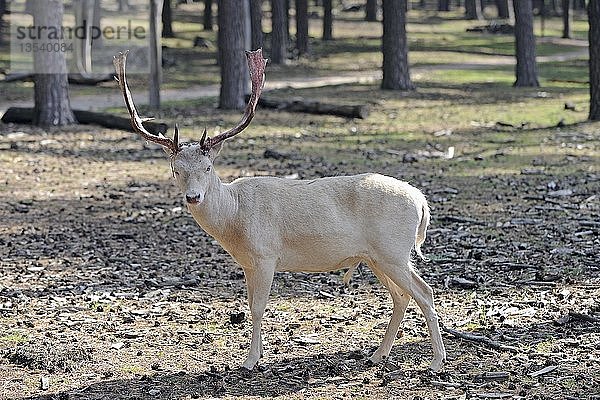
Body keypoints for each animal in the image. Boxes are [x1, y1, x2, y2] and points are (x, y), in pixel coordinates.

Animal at [115, 49, 448, 372]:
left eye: (208, 167)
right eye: (176, 170)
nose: (193, 197)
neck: (235, 217)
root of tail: (421, 201)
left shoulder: (265, 256)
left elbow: (257, 307)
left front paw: (250, 360)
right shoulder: (248, 263)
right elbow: (250, 304)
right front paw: (257, 354)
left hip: (393, 251)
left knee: (425, 292)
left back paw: (436, 361)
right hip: (376, 257)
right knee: (401, 296)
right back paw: (377, 355)